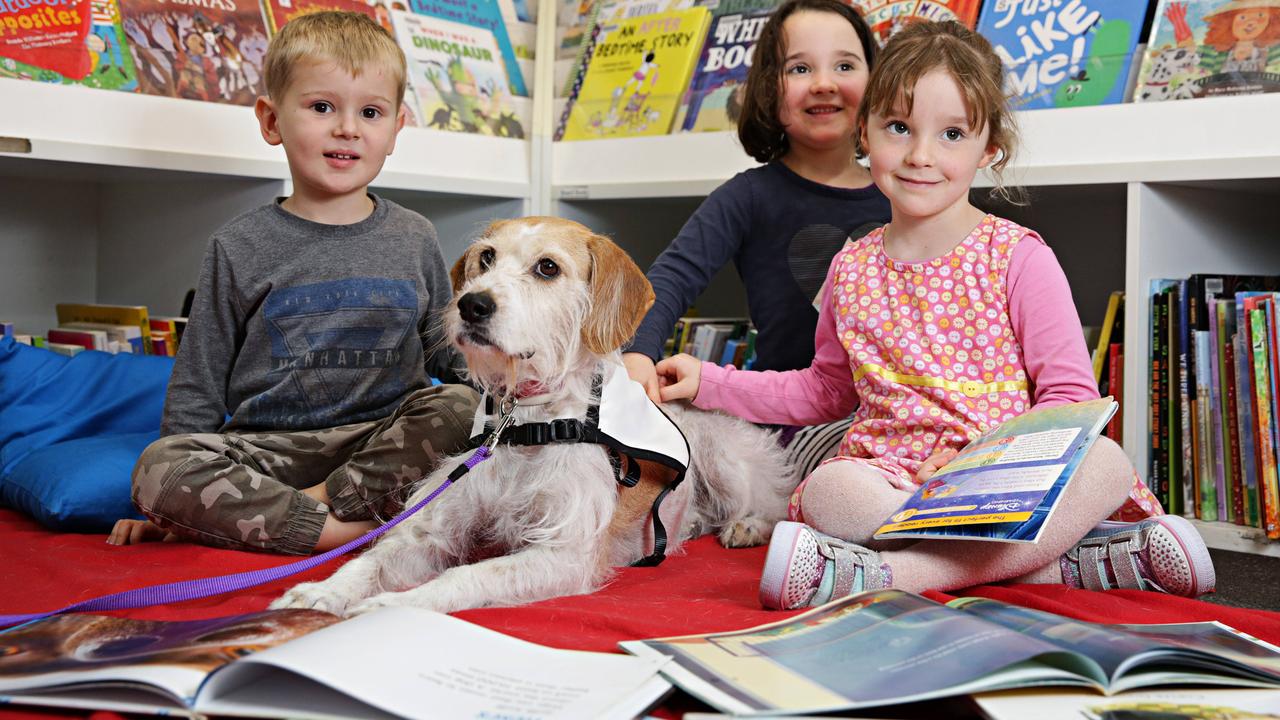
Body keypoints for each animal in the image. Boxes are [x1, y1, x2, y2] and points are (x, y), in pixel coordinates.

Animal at [273, 215, 793, 614]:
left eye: (547, 267)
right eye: (486, 258)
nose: (472, 304)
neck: (526, 422)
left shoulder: (564, 555)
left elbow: (466, 576)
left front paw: (391, 608)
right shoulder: (433, 528)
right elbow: (369, 561)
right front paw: (320, 593)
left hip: (724, 463)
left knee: (772, 502)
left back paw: (747, 526)